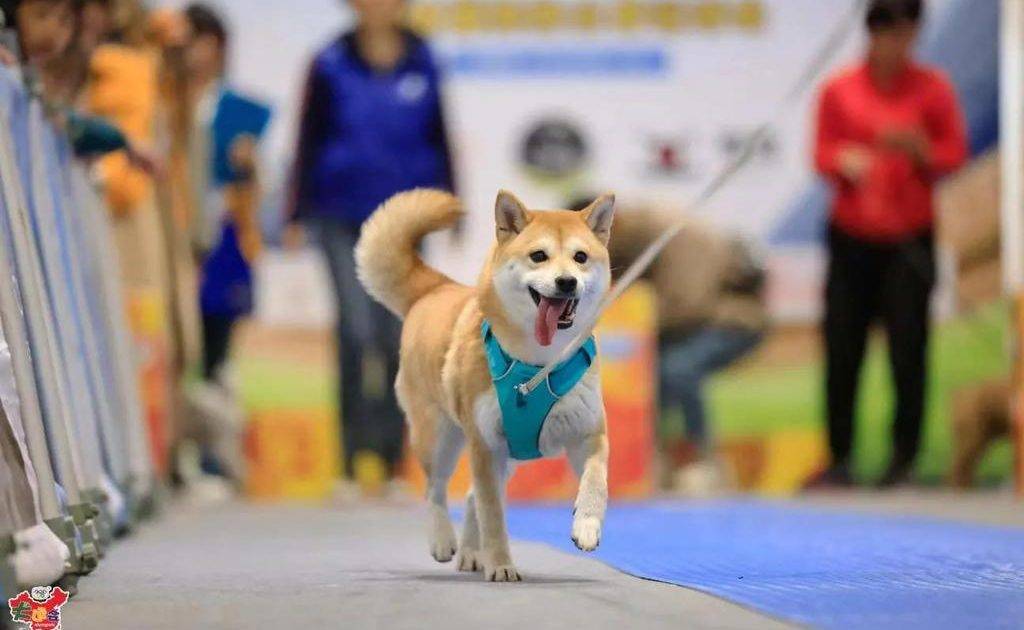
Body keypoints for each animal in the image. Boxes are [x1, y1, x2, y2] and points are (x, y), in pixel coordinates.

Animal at [356, 187, 614, 581]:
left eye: (580, 257)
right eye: (538, 256)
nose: (566, 281)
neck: (537, 366)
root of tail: (436, 288)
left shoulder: (588, 434)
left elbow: (596, 482)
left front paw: (586, 525)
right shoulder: (485, 445)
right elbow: (494, 516)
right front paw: (502, 564)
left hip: (506, 457)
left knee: (470, 497)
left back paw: (469, 553)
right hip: (441, 438)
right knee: (436, 490)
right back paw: (445, 541)